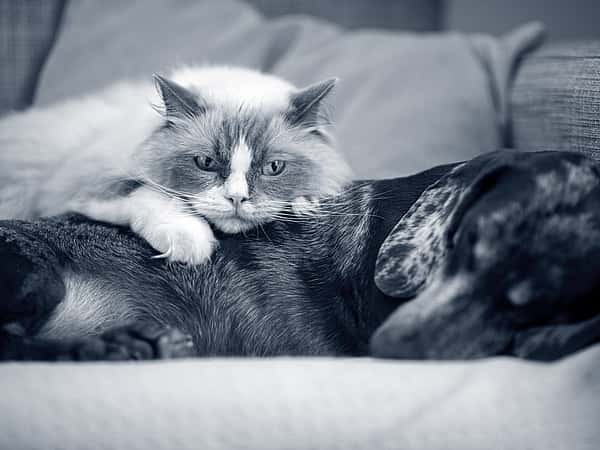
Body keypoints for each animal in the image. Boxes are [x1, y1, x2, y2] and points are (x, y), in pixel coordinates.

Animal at [0, 65, 352, 266]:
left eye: (274, 168)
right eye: (206, 163)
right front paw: (190, 245)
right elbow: (154, 195)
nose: (237, 198)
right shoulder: (89, 188)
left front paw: (307, 202)